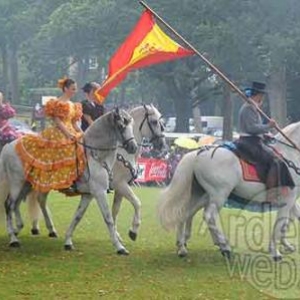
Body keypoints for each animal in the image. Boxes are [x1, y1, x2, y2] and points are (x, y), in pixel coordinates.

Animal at [0, 107, 138, 253]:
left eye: (132, 125)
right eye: (121, 125)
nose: (133, 147)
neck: (95, 156)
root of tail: (8, 145)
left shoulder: (88, 195)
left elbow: (77, 216)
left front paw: (68, 242)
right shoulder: (100, 192)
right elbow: (108, 218)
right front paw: (120, 247)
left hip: (26, 185)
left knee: (17, 204)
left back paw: (18, 229)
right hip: (16, 183)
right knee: (9, 205)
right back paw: (13, 239)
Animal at [157, 121, 300, 260]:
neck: (290, 154)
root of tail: (198, 154)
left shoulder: (292, 200)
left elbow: (290, 219)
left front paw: (286, 245)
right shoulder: (288, 200)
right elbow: (281, 222)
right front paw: (275, 252)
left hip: (201, 195)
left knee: (186, 213)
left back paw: (182, 247)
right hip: (219, 195)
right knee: (209, 217)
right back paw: (225, 247)